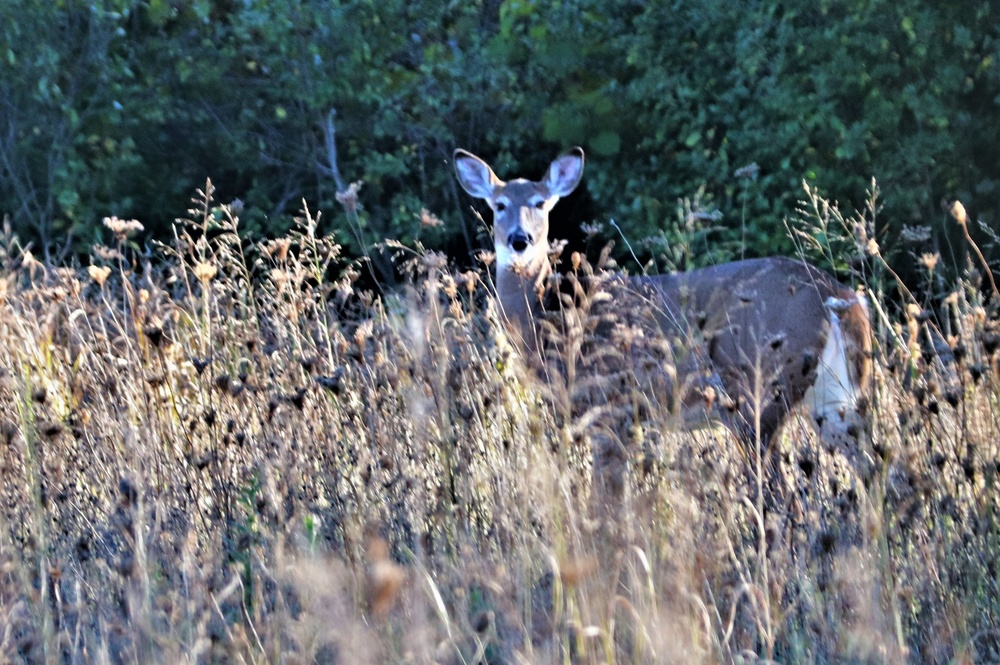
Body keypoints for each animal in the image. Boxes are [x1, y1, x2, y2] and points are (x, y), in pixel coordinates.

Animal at [456, 147, 876, 454]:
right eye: (499, 205)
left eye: (541, 203)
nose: (520, 239)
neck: (552, 315)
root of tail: (837, 296)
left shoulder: (611, 410)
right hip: (836, 399)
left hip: (759, 394)